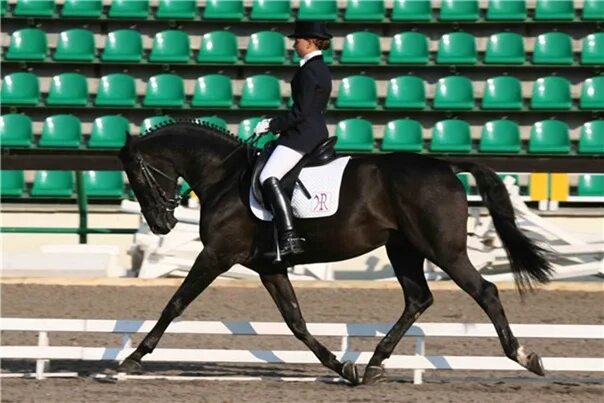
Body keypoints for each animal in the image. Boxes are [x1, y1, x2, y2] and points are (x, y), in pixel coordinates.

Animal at [118, 120, 552, 386]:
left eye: (137, 175)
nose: (161, 225)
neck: (225, 178)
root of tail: (445, 166)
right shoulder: (268, 267)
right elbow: (296, 321)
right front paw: (343, 367)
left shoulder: (216, 255)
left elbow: (175, 304)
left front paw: (134, 358)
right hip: (403, 248)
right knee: (418, 299)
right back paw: (374, 364)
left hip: (443, 249)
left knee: (484, 292)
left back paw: (525, 356)